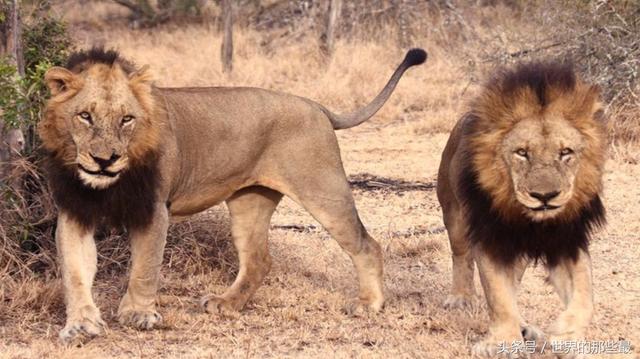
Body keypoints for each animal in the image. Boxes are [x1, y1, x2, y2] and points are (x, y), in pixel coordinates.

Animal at [40, 46, 428, 344]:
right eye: (85, 116)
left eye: (127, 119)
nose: (105, 160)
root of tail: (316, 105)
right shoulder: (74, 213)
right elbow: (74, 272)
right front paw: (81, 324)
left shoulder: (154, 210)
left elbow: (145, 267)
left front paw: (138, 314)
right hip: (250, 202)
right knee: (258, 259)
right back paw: (226, 304)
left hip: (322, 188)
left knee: (367, 244)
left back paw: (369, 304)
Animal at [438, 62, 608, 358]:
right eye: (521, 153)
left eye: (565, 152)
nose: (545, 196)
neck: (533, 222)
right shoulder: (492, 240)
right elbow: (498, 297)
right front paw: (504, 341)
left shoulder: (567, 241)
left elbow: (585, 294)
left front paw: (566, 334)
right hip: (454, 214)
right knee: (461, 256)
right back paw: (462, 298)